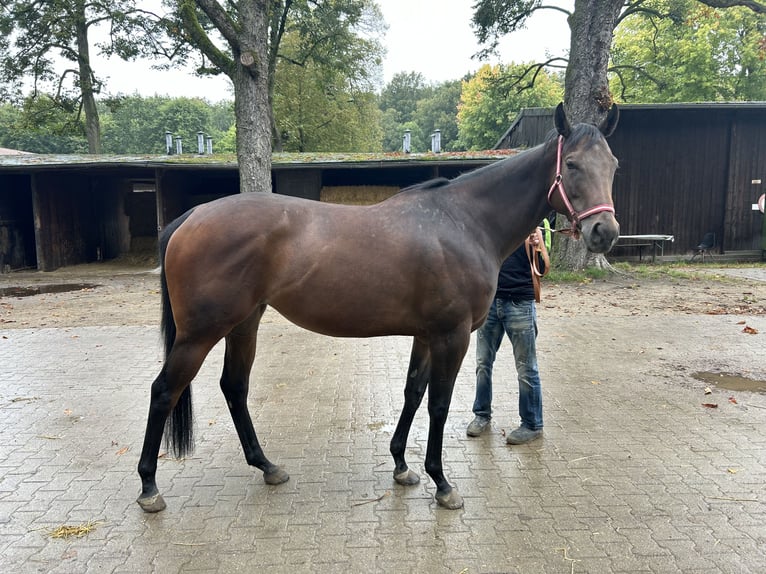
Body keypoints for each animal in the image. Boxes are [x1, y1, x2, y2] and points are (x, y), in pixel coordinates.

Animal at [135, 103, 620, 512]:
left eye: (613, 164)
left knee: (234, 388)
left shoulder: (426, 335)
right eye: (571, 164)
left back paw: (267, 466)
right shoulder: (452, 337)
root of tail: (191, 218)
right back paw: (149, 487)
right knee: (163, 391)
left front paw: (402, 467)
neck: (465, 223)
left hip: (244, 324)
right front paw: (442, 484)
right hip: (200, 334)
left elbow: (413, 393)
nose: (604, 232)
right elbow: (438, 404)